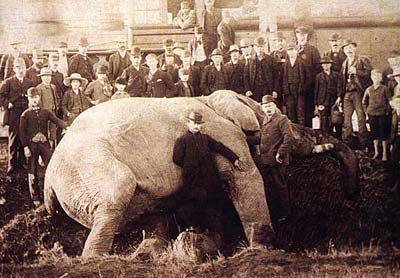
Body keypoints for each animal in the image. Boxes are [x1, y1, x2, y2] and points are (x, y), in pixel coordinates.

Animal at [44, 90, 360, 258]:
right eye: (291, 131)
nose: (350, 196)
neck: (211, 99)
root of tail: (48, 182)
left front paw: (208, 243)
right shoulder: (224, 132)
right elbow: (242, 176)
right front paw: (264, 250)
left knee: (153, 210)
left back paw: (151, 253)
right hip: (90, 170)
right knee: (118, 194)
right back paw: (97, 260)